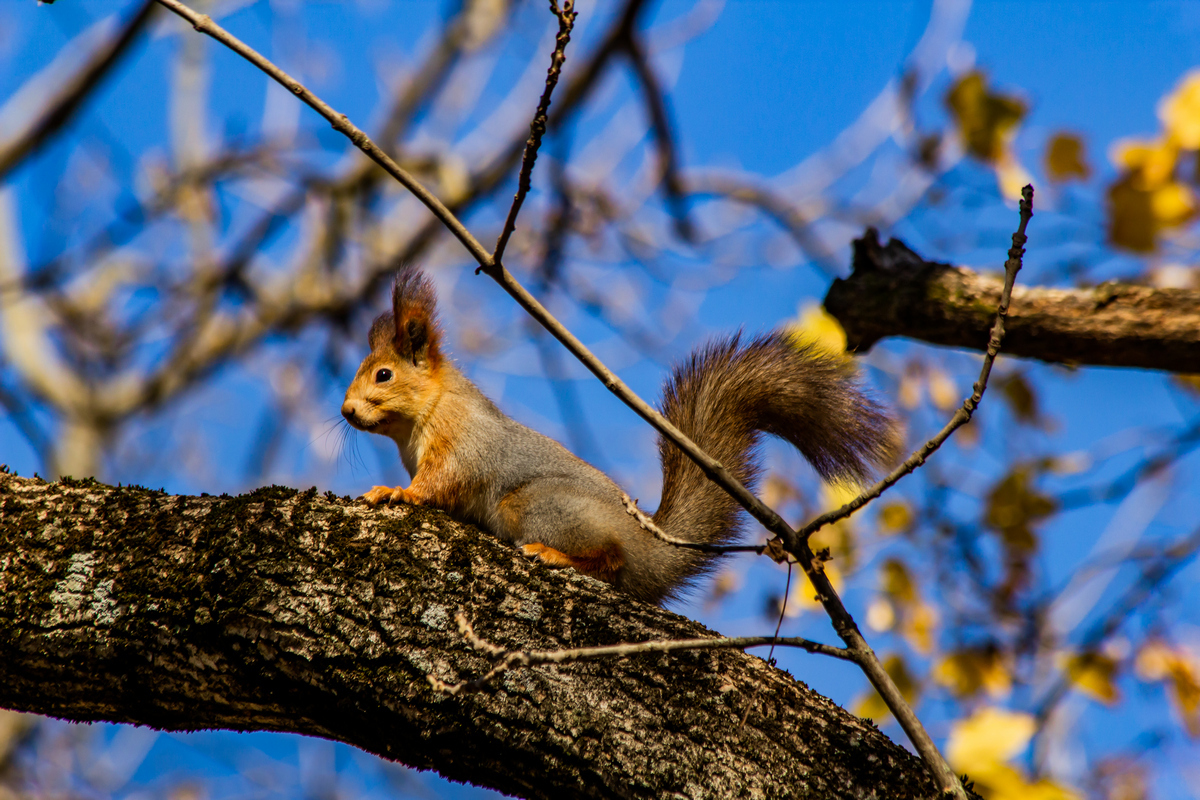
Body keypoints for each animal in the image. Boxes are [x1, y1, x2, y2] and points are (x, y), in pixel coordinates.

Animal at [340, 266, 902, 604]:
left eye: (383, 376)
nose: (345, 411)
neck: (423, 417)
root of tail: (648, 545)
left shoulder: (461, 443)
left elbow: (439, 484)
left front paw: (395, 493)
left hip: (536, 505)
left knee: (612, 561)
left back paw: (555, 555)